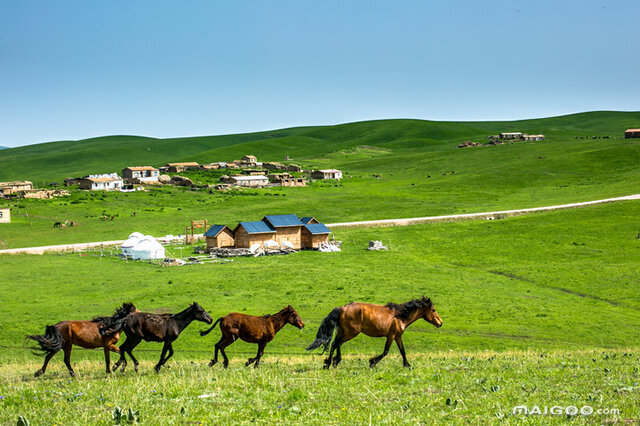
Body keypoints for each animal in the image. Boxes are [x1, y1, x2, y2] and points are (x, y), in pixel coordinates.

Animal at [304, 296, 440, 370]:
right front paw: (372, 362)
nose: (440, 323)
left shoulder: (398, 336)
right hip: (351, 333)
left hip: (343, 332)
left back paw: (333, 362)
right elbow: (385, 352)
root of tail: (342, 308)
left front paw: (407, 365)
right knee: (335, 344)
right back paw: (330, 363)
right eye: (433, 310)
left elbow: (402, 351)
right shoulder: (391, 336)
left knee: (336, 344)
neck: (400, 316)